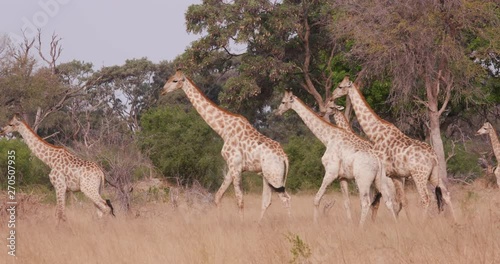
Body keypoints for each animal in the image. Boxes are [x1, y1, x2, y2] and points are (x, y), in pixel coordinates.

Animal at [162, 70, 292, 221]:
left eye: (175, 81)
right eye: (169, 78)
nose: (163, 91)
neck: (223, 129)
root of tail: (284, 157)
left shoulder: (235, 166)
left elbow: (240, 200)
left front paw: (241, 223)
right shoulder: (232, 167)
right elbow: (218, 196)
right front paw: (219, 221)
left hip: (274, 175)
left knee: (285, 198)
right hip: (268, 175)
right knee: (267, 201)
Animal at [276, 89, 396, 226]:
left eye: (283, 102)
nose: (277, 112)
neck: (328, 138)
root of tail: (378, 161)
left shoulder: (331, 172)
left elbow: (316, 199)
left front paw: (315, 224)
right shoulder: (342, 177)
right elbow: (347, 203)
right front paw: (349, 223)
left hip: (363, 180)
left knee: (367, 202)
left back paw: (361, 227)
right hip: (379, 180)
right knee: (387, 201)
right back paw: (395, 223)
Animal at [332, 76, 458, 221]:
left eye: (340, 86)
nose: (332, 96)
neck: (375, 133)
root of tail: (434, 157)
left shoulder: (383, 174)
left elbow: (380, 201)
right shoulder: (395, 175)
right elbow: (400, 200)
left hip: (419, 175)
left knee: (426, 198)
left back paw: (422, 222)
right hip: (433, 174)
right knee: (446, 194)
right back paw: (454, 220)